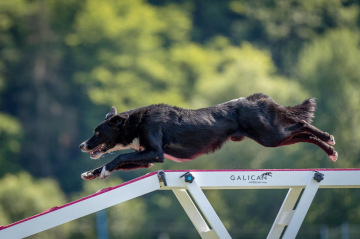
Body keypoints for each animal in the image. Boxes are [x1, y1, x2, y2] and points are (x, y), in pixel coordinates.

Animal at [79, 93, 338, 179]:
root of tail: (257, 98)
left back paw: (328, 138)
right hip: (272, 137)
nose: (82, 145)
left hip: (270, 135)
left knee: (302, 124)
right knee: (303, 133)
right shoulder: (147, 158)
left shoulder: (155, 153)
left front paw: (103, 170)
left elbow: (119, 157)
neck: (137, 121)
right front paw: (92, 173)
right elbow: (121, 160)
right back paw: (330, 150)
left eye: (97, 132)